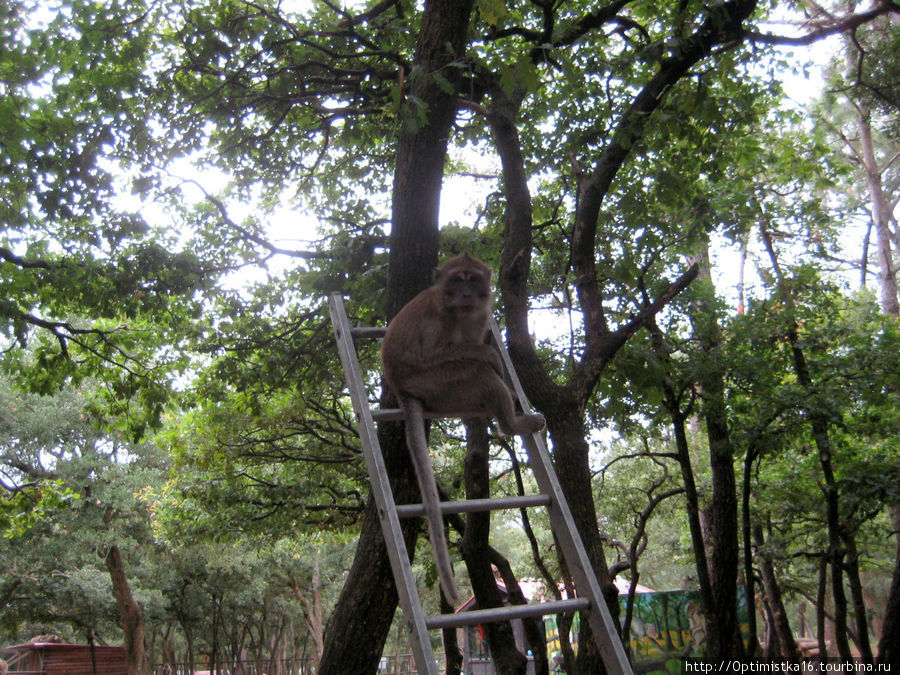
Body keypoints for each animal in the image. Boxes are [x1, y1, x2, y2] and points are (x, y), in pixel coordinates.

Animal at [382, 254, 544, 608]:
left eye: (473, 280)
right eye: (458, 279)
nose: (467, 294)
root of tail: (403, 390)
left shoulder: (481, 314)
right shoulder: (439, 317)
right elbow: (439, 352)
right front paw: (491, 354)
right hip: (437, 384)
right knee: (476, 371)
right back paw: (511, 423)